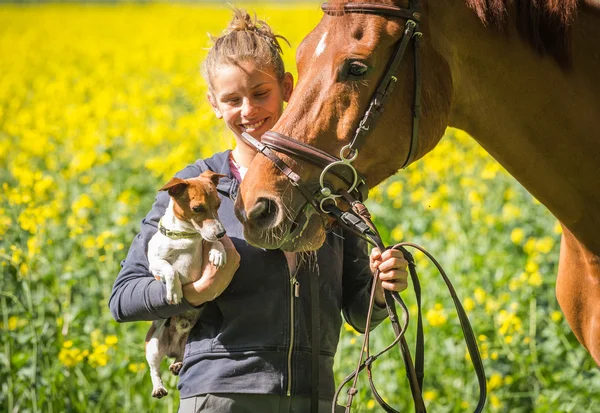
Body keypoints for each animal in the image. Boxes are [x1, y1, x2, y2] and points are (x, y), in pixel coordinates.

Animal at [145, 170, 227, 396]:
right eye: (197, 208)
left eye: (219, 204)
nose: (222, 232)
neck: (186, 237)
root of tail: (173, 348)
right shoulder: (154, 264)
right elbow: (170, 269)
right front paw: (174, 292)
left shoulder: (207, 241)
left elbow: (213, 243)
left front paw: (218, 252)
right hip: (153, 343)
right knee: (154, 369)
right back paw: (158, 388)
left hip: (188, 343)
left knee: (181, 359)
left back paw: (178, 365)